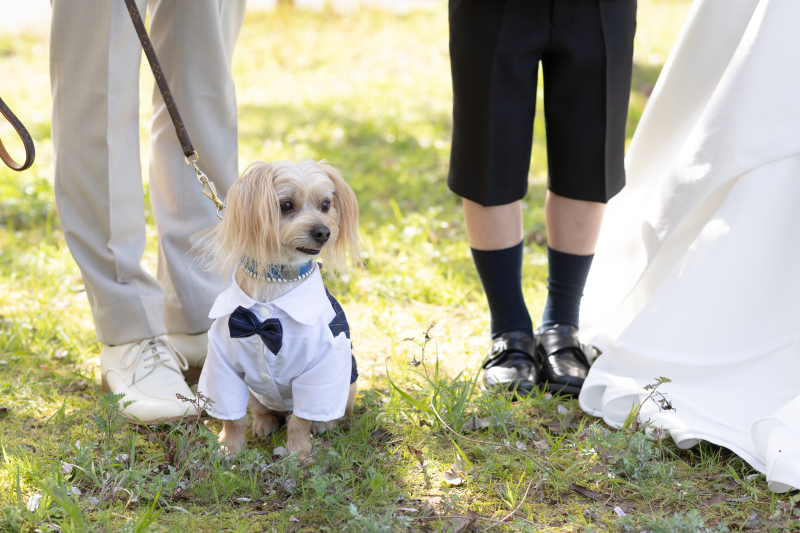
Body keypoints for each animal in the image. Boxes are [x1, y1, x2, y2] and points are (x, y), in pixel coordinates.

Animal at [197, 159, 362, 462]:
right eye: (285, 205)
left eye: (325, 204)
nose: (323, 231)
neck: (277, 282)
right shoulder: (222, 365)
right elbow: (233, 417)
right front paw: (229, 447)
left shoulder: (319, 369)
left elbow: (300, 420)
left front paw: (298, 453)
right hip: (254, 390)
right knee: (261, 409)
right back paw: (264, 422)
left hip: (347, 382)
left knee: (325, 411)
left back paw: (322, 424)